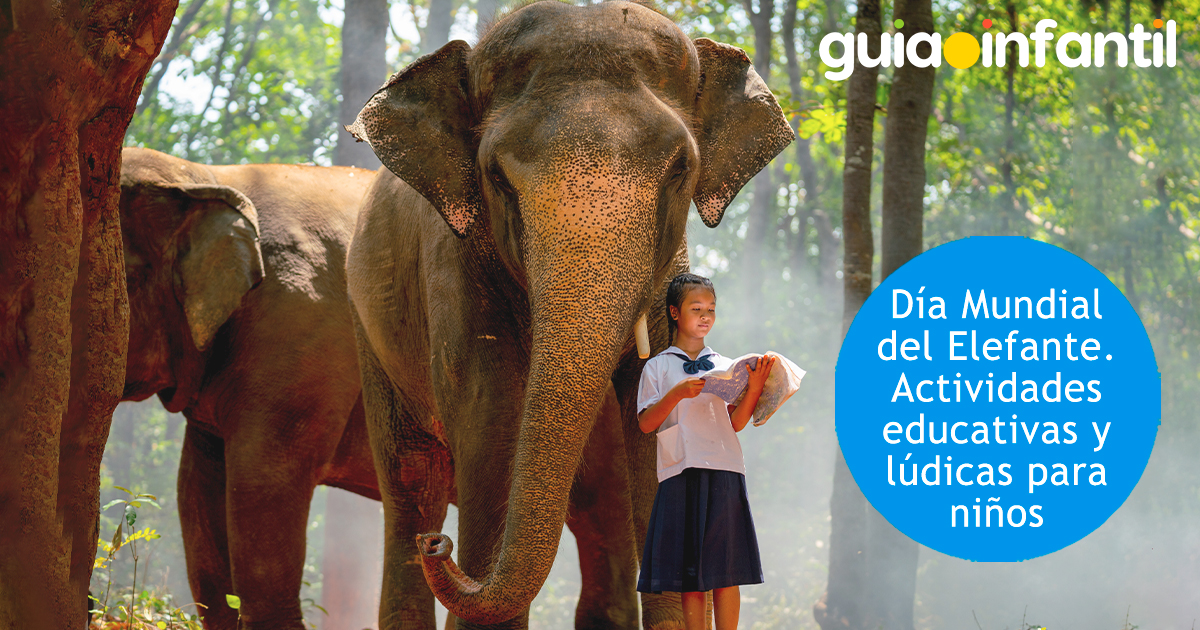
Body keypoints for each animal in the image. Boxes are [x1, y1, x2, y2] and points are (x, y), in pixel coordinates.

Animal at [343, 2, 794, 629]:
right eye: (496, 176)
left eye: (681, 169)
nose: (441, 546)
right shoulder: (452, 266)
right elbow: (490, 415)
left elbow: (648, 429)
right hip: (369, 327)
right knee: (411, 480)